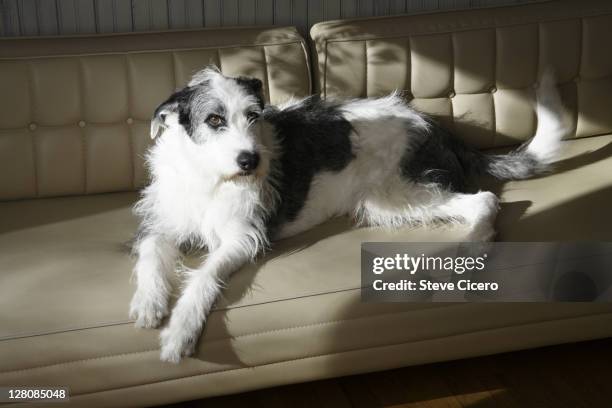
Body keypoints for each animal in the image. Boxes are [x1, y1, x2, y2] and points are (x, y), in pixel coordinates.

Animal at [130, 67, 568, 364]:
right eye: (214, 120)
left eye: (253, 116)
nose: (251, 161)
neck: (207, 174)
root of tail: (439, 128)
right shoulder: (162, 221)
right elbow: (151, 250)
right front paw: (149, 301)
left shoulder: (243, 236)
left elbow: (204, 275)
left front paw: (179, 333)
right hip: (388, 202)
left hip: (397, 193)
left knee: (484, 199)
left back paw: (474, 244)